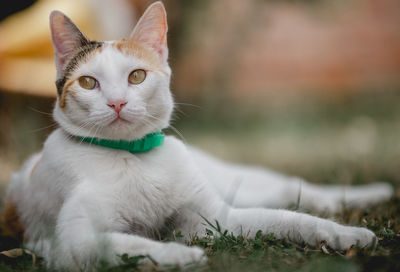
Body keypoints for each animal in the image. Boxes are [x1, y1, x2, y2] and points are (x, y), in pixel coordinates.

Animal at [0, 1, 394, 270]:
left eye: (136, 76)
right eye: (87, 83)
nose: (116, 102)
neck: (135, 156)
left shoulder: (216, 216)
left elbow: (288, 219)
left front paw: (347, 236)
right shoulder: (72, 241)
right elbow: (124, 244)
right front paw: (179, 254)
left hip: (238, 182)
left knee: (291, 189)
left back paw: (372, 193)